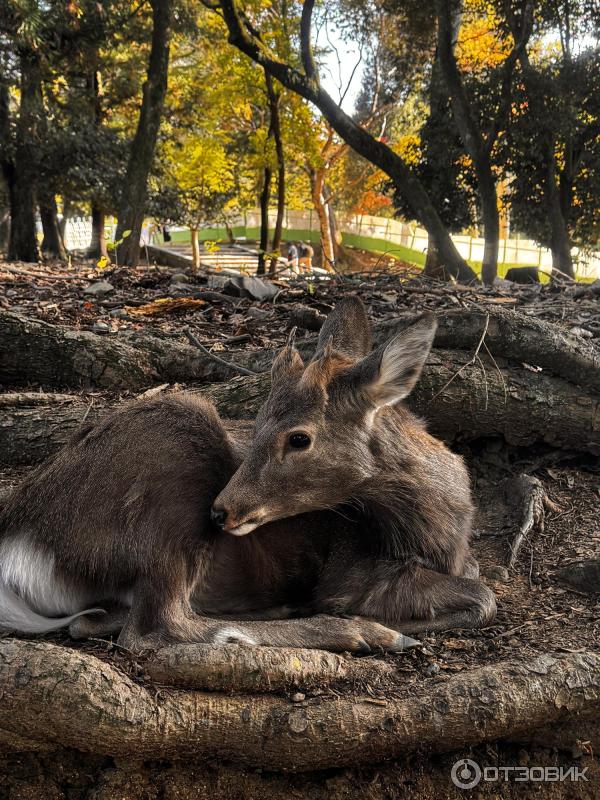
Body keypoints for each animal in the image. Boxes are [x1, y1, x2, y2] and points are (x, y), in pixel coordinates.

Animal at [0, 296, 496, 652]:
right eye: (255, 424)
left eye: (298, 438)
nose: (222, 511)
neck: (439, 534)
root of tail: (18, 540)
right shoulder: (355, 574)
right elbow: (484, 597)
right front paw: (384, 622)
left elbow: (479, 583)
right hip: (173, 474)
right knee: (155, 627)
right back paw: (364, 632)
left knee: (92, 621)